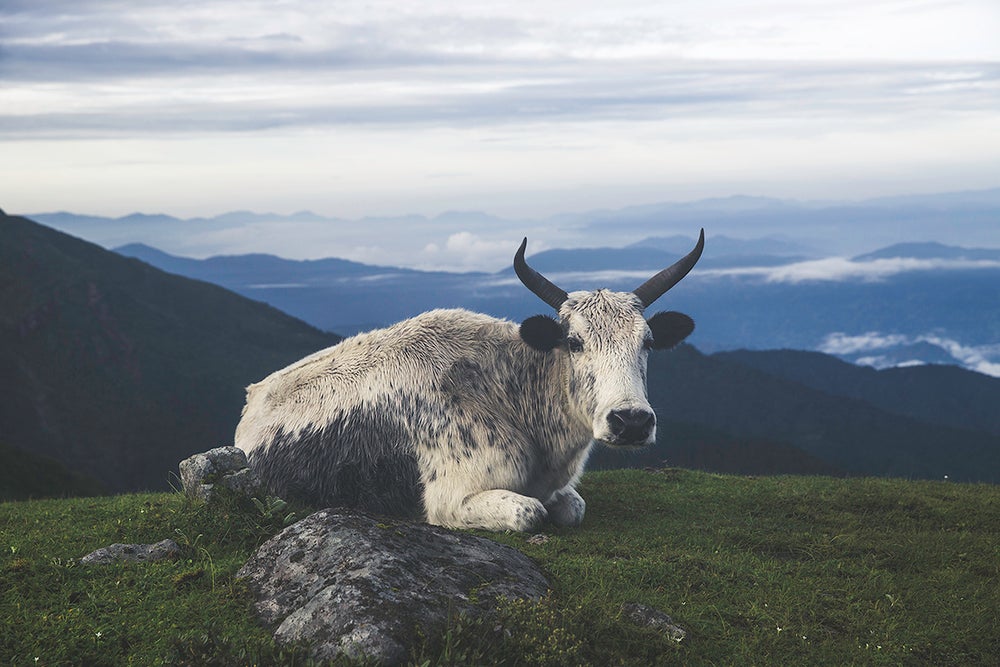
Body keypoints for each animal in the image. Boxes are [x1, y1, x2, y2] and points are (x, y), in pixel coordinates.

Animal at [234, 231, 704, 532]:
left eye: (647, 342)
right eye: (574, 342)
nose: (631, 421)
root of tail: (251, 399)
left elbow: (573, 506)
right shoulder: (451, 500)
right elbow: (530, 514)